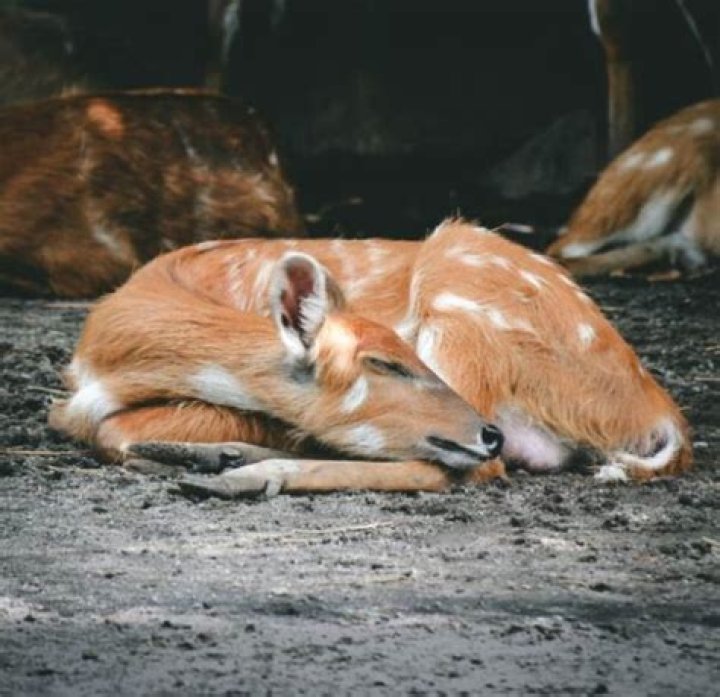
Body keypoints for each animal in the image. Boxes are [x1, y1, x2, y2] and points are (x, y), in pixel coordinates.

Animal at [48, 219, 692, 497]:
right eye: (385, 362)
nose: (485, 432)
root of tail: (659, 414)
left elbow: (117, 429)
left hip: (461, 309)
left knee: (476, 467)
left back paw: (238, 474)